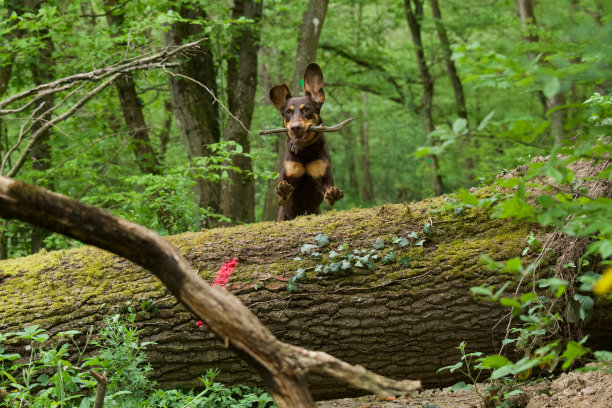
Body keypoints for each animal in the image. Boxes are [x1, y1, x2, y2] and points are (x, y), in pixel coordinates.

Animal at [268, 63, 342, 222]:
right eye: (288, 112)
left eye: (307, 109)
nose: (296, 127)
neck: (305, 151)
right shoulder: (288, 175)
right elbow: (281, 195)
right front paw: (283, 191)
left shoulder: (323, 176)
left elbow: (329, 190)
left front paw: (332, 194)